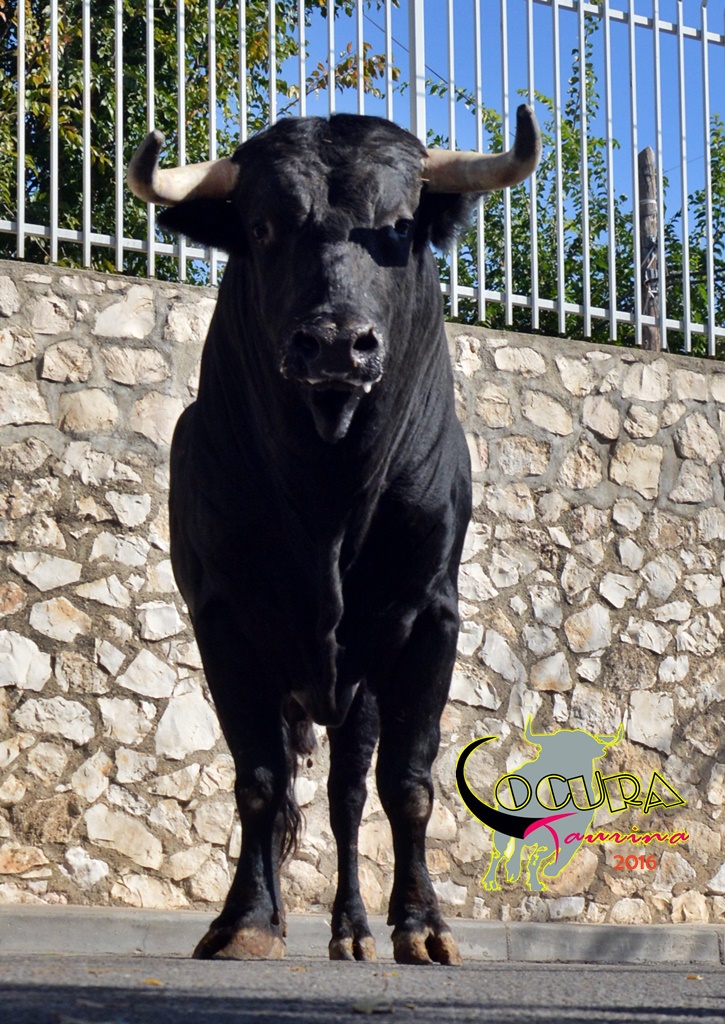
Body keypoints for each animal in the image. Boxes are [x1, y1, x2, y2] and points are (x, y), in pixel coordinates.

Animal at [127, 106, 540, 965]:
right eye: (262, 226)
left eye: (399, 226)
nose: (335, 343)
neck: (329, 497)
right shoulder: (224, 619)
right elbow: (257, 780)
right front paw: (246, 921)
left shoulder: (428, 616)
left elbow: (407, 785)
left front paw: (422, 926)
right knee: (289, 786)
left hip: (357, 690)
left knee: (350, 796)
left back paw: (352, 929)